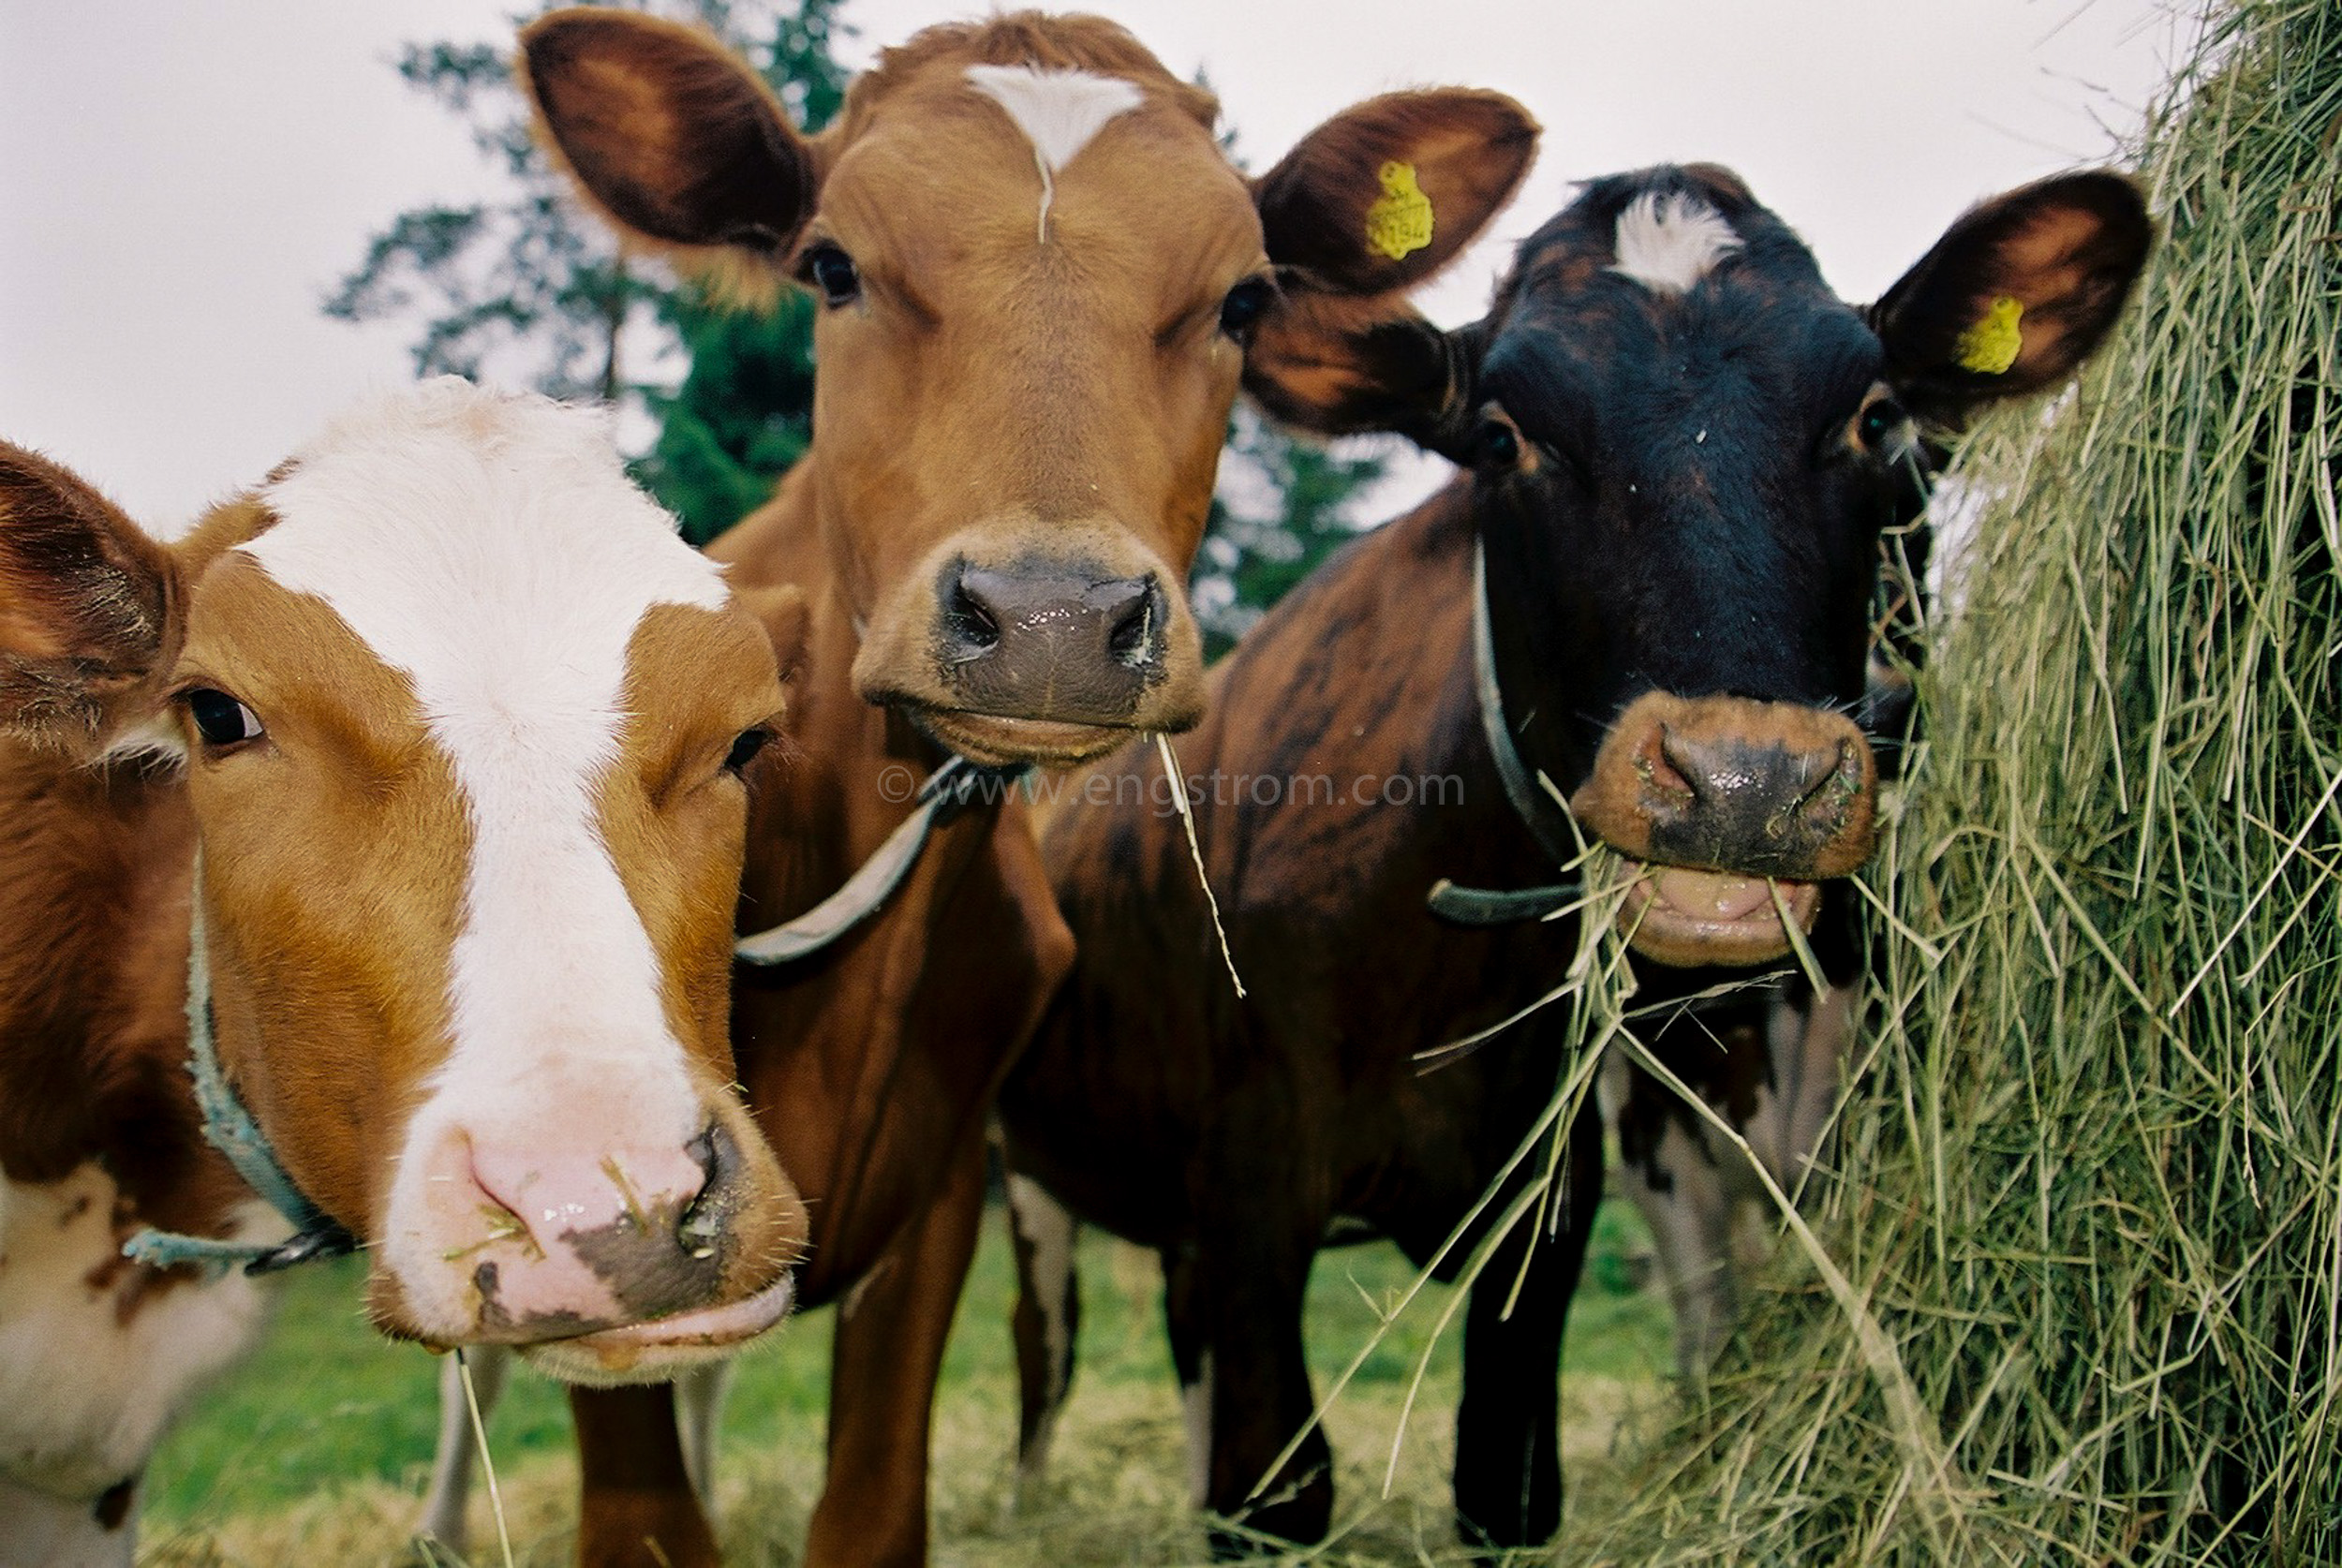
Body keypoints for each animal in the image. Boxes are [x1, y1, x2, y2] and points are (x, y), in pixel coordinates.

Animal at [417, 12, 1555, 1568]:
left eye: (1243, 300)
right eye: (832, 266)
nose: (1054, 617)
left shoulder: (948, 1188)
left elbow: (871, 1506)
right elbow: (642, 1513)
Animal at [998, 166, 2145, 1554]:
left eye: (1875, 422)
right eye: (1501, 440)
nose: (1749, 779)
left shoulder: (1544, 1214)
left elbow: (1506, 1484)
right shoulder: (1255, 1197)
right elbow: (1279, 1492)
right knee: (1045, 1350)